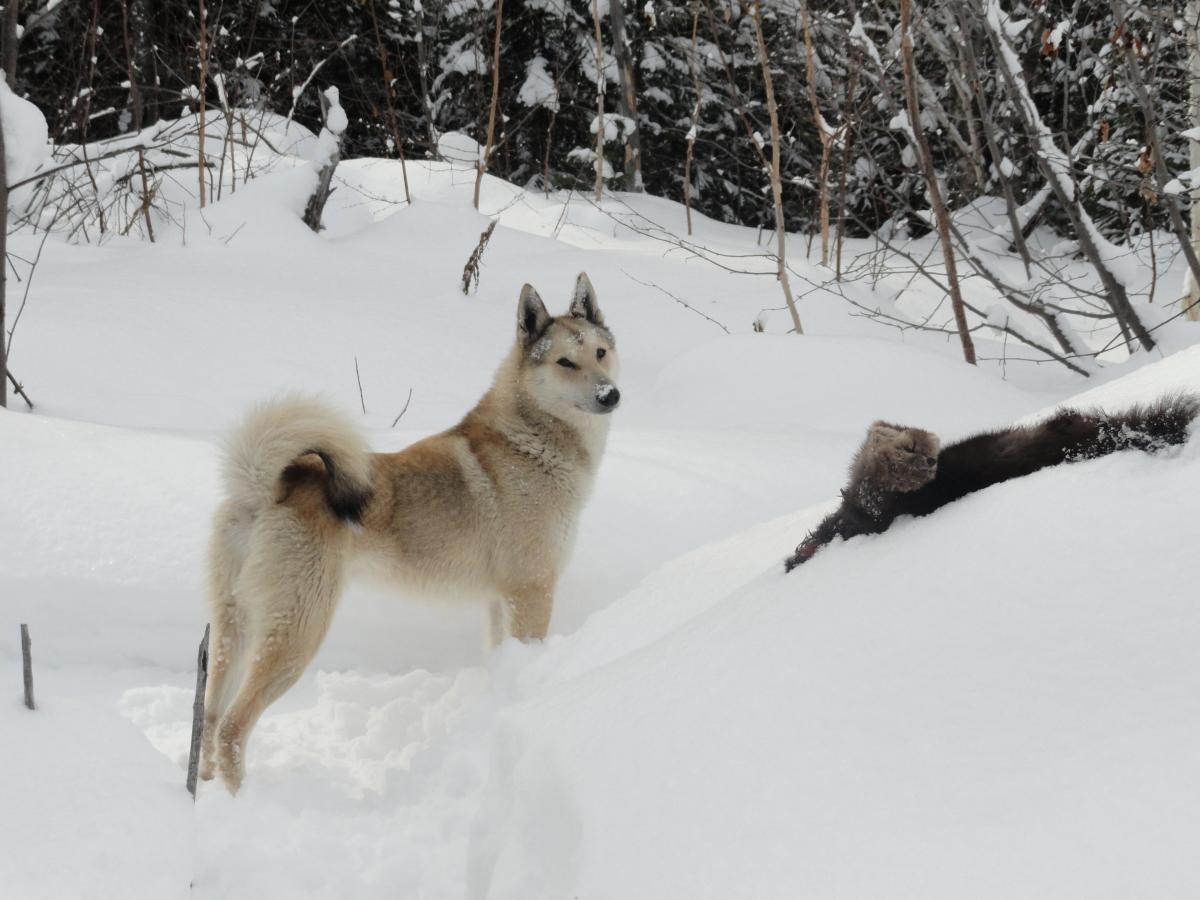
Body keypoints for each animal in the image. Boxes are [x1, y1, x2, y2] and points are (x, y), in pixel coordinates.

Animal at [198, 271, 619, 792]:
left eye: (600, 352)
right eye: (565, 362)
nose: (610, 395)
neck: (530, 441)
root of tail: (266, 485)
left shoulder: (500, 601)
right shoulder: (531, 593)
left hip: (231, 627)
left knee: (208, 719)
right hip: (297, 633)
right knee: (233, 728)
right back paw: (242, 801)